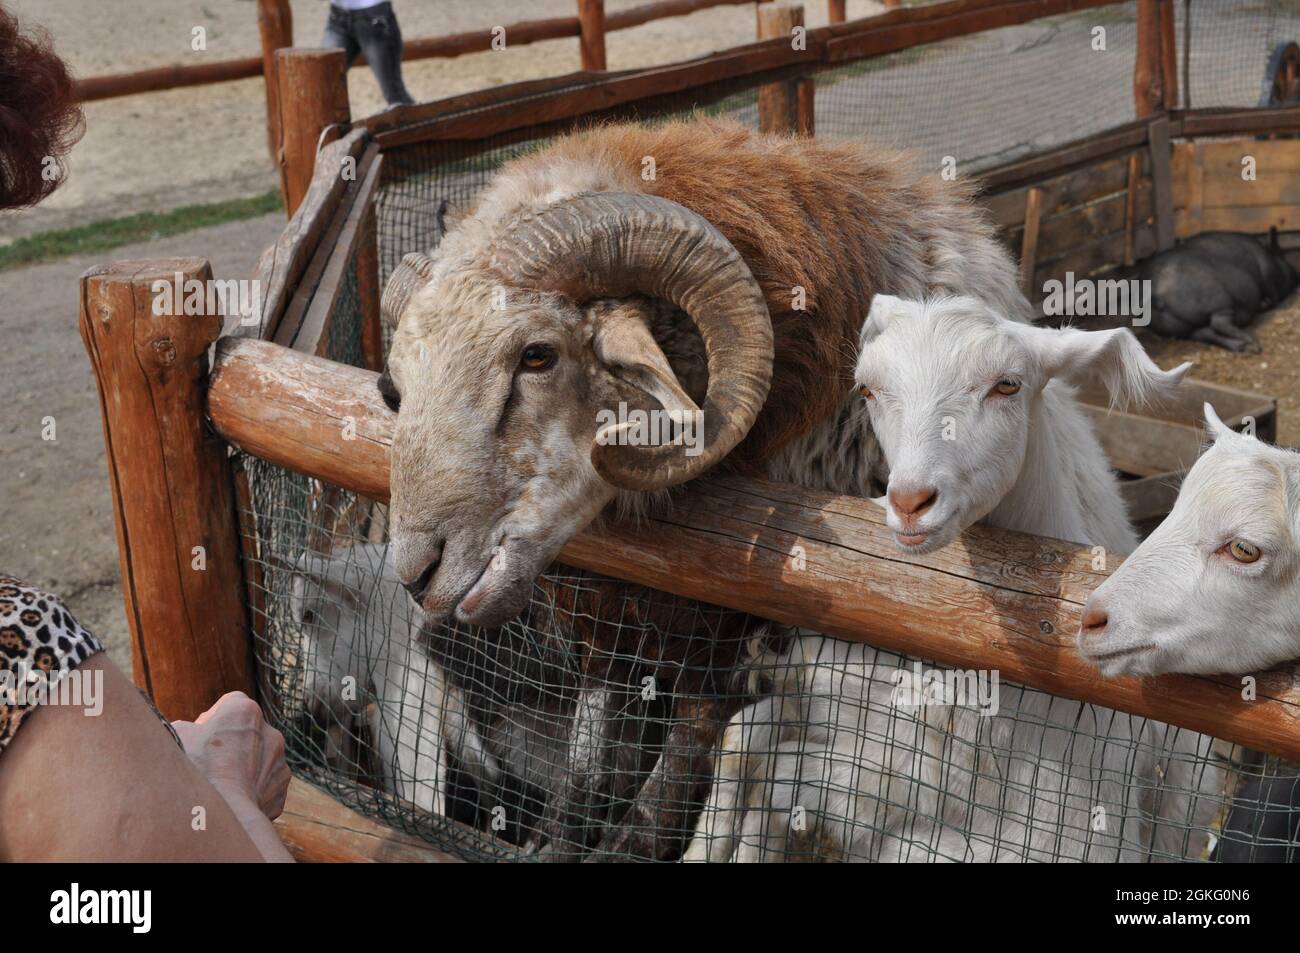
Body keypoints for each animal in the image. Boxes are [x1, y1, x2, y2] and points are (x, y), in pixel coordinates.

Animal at [377, 118, 1032, 858]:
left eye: (537, 355)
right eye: (398, 386)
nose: (415, 572)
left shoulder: (730, 633)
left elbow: (698, 740)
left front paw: (632, 839)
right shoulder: (625, 618)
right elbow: (597, 747)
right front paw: (561, 835)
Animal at [685, 294, 1227, 862]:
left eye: (1007, 385)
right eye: (868, 390)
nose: (909, 502)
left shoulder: (1031, 833)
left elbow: (781, 777)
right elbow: (747, 740)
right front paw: (704, 847)